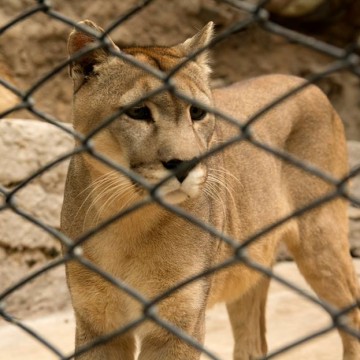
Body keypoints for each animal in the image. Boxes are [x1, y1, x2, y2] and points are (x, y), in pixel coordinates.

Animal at [62, 20, 360, 360]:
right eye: (138, 112)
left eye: (197, 112)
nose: (184, 165)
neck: (127, 220)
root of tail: (304, 82)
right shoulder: (97, 323)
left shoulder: (178, 324)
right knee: (252, 342)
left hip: (321, 237)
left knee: (351, 315)